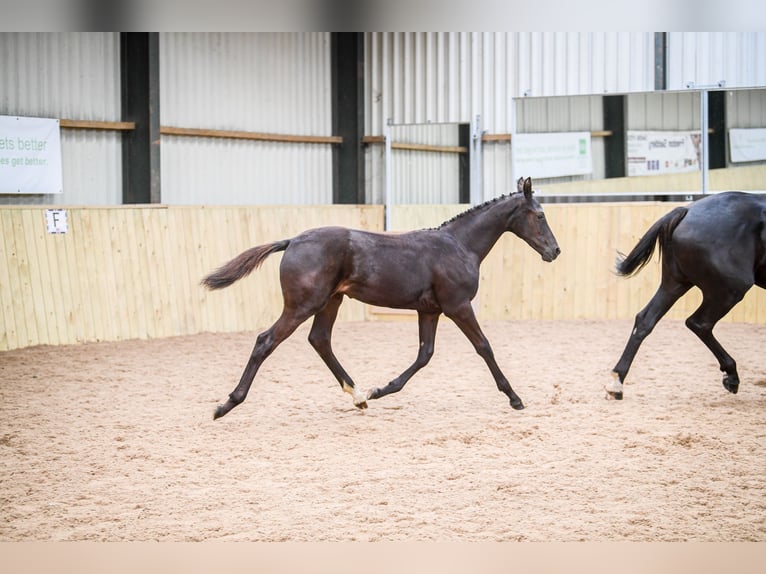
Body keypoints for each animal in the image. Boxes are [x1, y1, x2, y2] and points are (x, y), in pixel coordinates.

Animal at [204, 178, 564, 420]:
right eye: (540, 216)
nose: (555, 251)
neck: (459, 246)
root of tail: (292, 241)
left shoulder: (430, 311)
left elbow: (424, 355)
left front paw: (379, 391)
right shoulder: (458, 306)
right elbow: (484, 347)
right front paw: (514, 398)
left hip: (330, 301)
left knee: (320, 340)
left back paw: (358, 396)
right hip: (303, 305)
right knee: (266, 341)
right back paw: (227, 404)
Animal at [608, 194, 766, 400]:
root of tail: (687, 210)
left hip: (675, 283)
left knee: (645, 320)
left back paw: (616, 382)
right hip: (730, 289)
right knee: (699, 323)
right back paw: (731, 376)